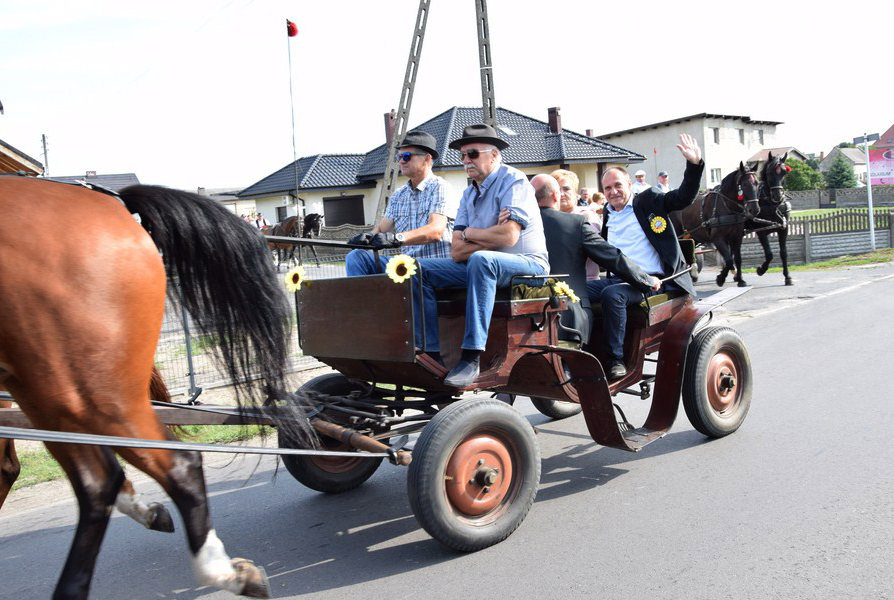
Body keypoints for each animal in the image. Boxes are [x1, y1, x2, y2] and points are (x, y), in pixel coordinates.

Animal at [0, 176, 316, 596]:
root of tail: (114, 204)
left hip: (84, 395)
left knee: (162, 469)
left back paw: (225, 573)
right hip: (52, 394)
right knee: (98, 481)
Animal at [744, 154, 796, 288]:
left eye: (784, 172)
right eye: (769, 172)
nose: (778, 196)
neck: (772, 204)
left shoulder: (783, 229)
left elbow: (783, 252)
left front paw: (788, 277)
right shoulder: (761, 232)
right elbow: (769, 254)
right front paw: (761, 269)